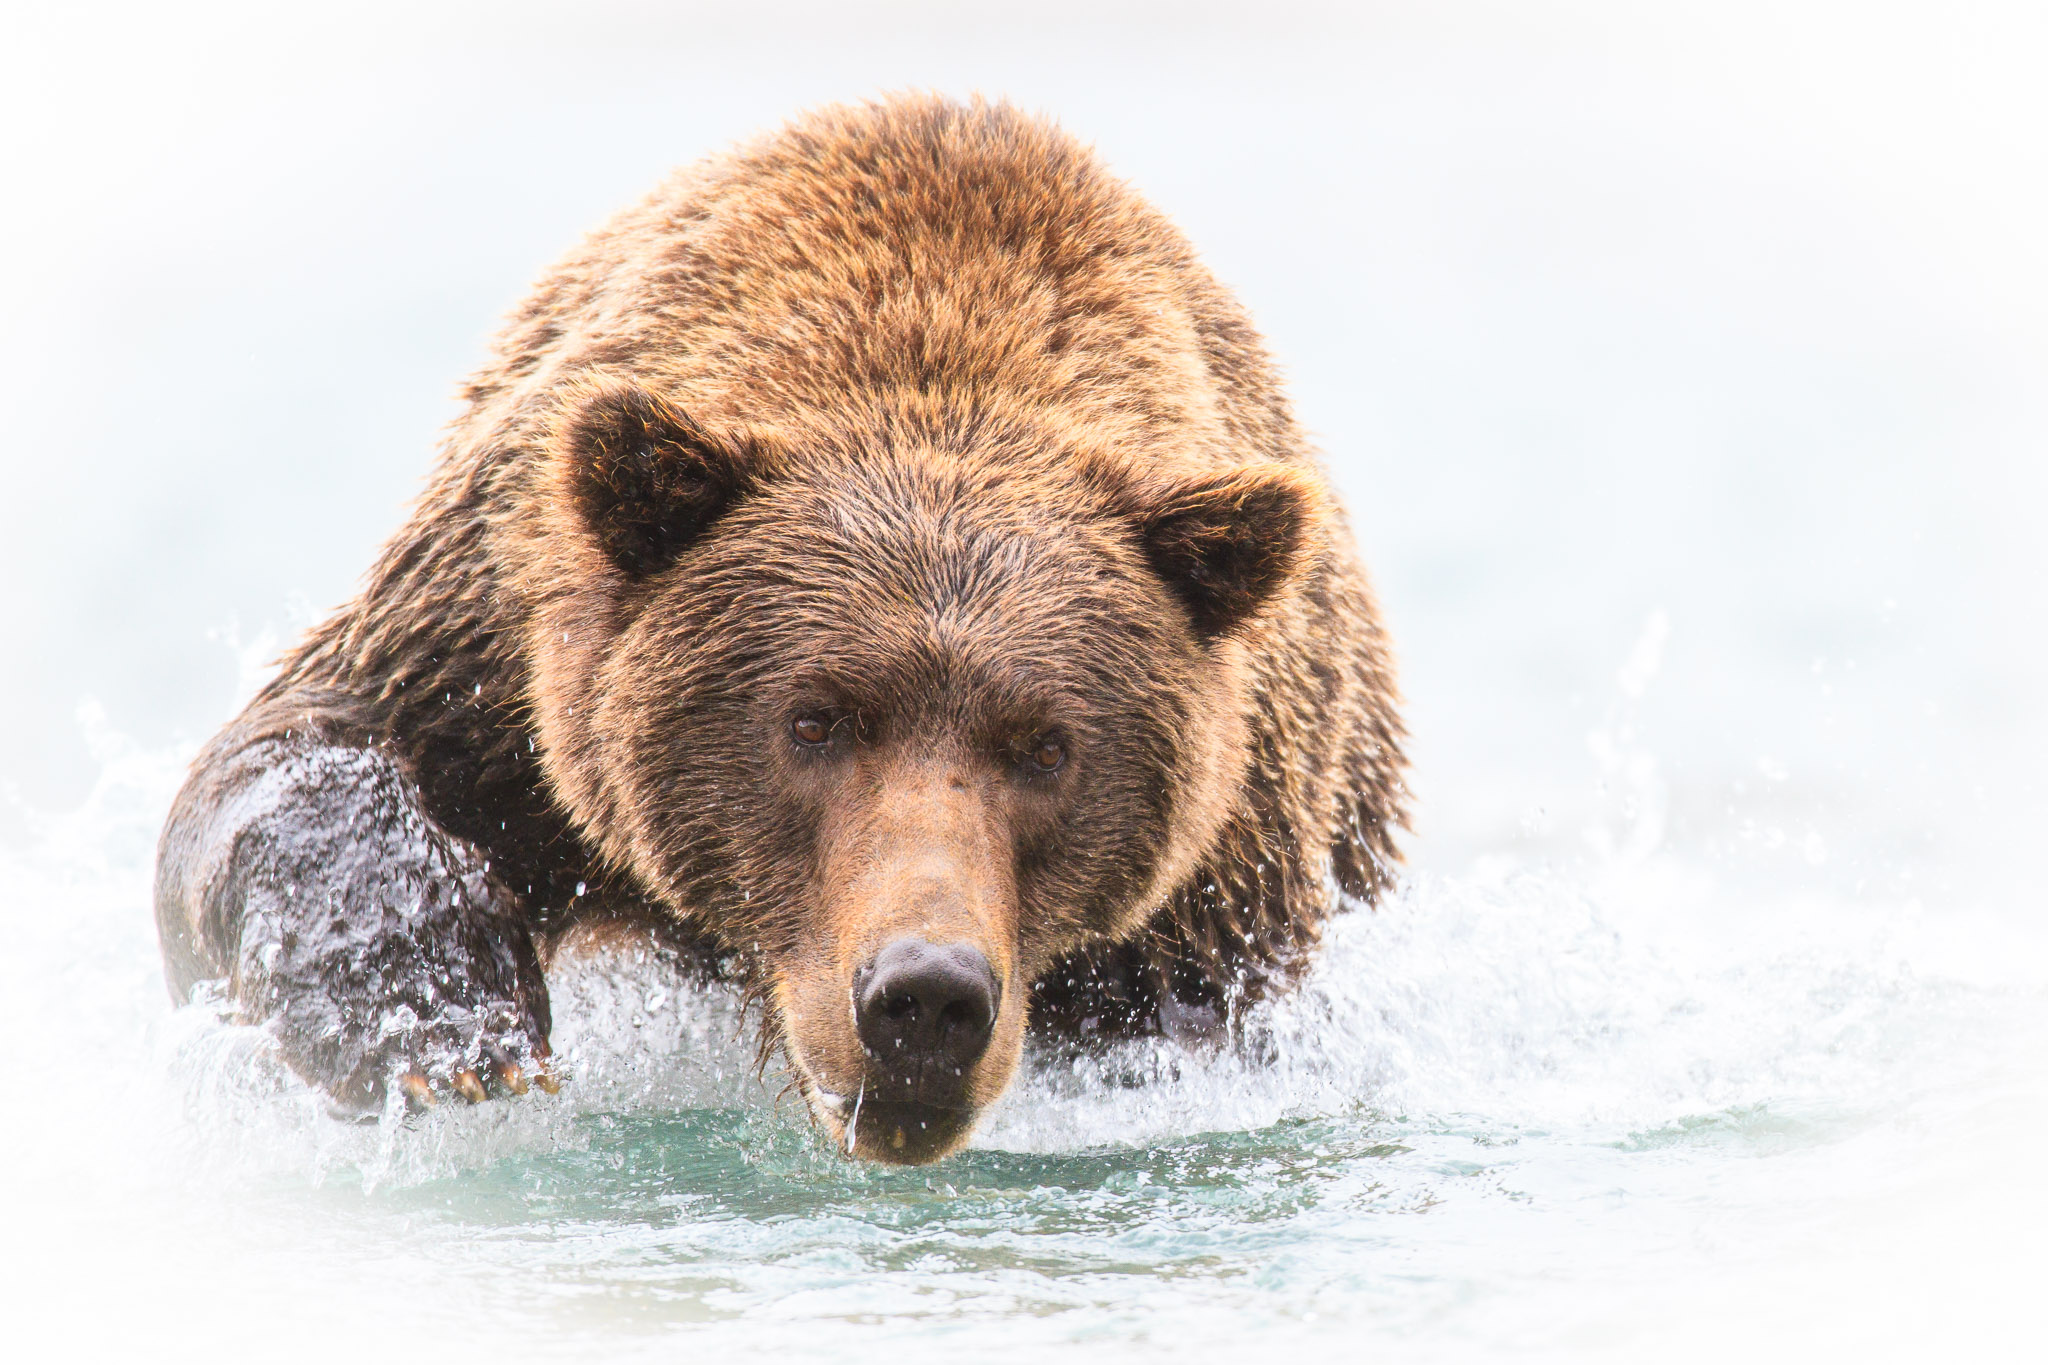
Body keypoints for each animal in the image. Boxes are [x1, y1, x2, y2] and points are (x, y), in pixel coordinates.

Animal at [155, 93, 1409, 1162]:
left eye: (1047, 746)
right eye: (812, 719)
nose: (925, 998)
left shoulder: (1230, 857)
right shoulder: (496, 645)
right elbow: (296, 753)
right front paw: (443, 1025)